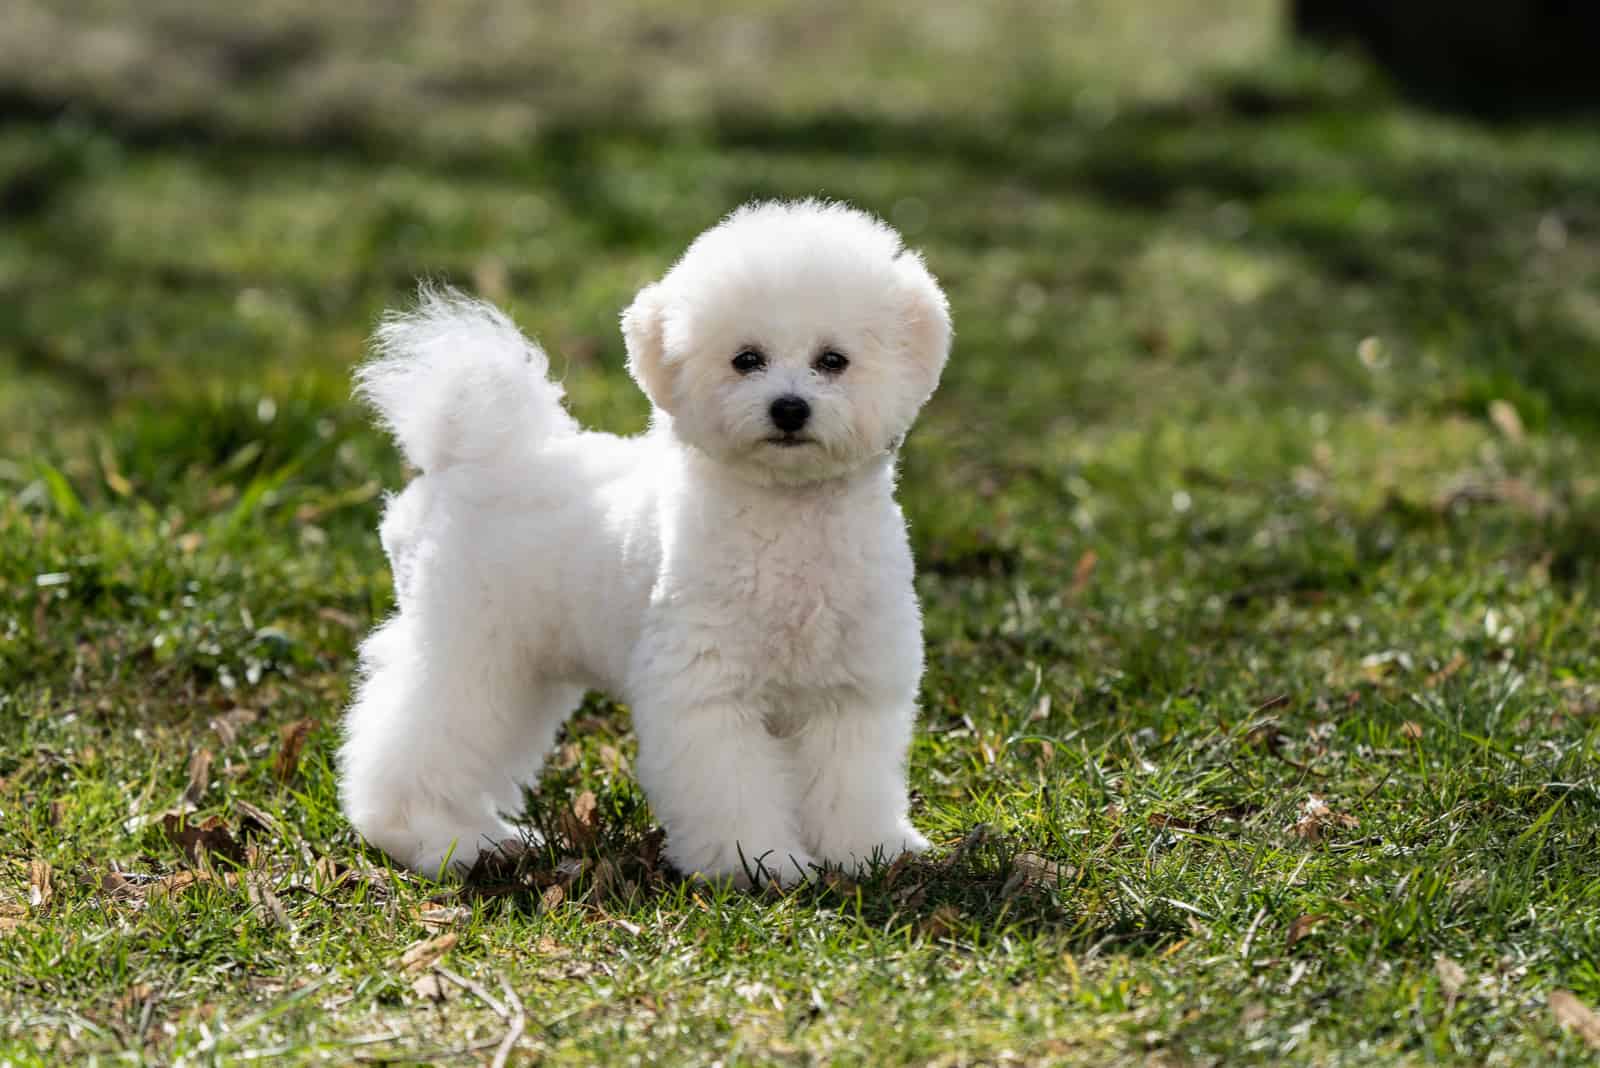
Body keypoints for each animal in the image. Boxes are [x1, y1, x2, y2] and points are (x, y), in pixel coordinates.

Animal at [337, 198, 947, 882]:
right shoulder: (707, 691)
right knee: (414, 742)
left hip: (522, 672)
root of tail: (467, 456)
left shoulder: (850, 693)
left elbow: (851, 782)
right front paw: (759, 863)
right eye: (747, 359)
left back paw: (489, 838)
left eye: (833, 361)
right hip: (469, 649)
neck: (789, 521)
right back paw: (430, 839)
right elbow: (730, 786)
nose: (789, 409)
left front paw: (867, 852)